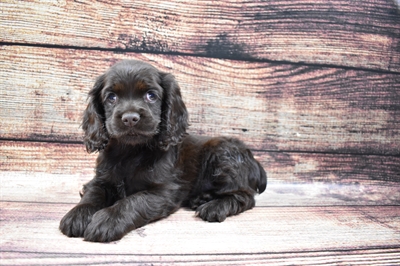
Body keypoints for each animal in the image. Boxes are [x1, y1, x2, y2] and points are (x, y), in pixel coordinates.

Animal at [58, 59, 266, 242]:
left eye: (151, 95)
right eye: (111, 97)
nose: (130, 118)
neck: (131, 152)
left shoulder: (163, 191)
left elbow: (133, 201)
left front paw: (108, 220)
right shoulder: (101, 179)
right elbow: (92, 194)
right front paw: (77, 215)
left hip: (223, 156)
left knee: (246, 196)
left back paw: (214, 207)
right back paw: (201, 199)